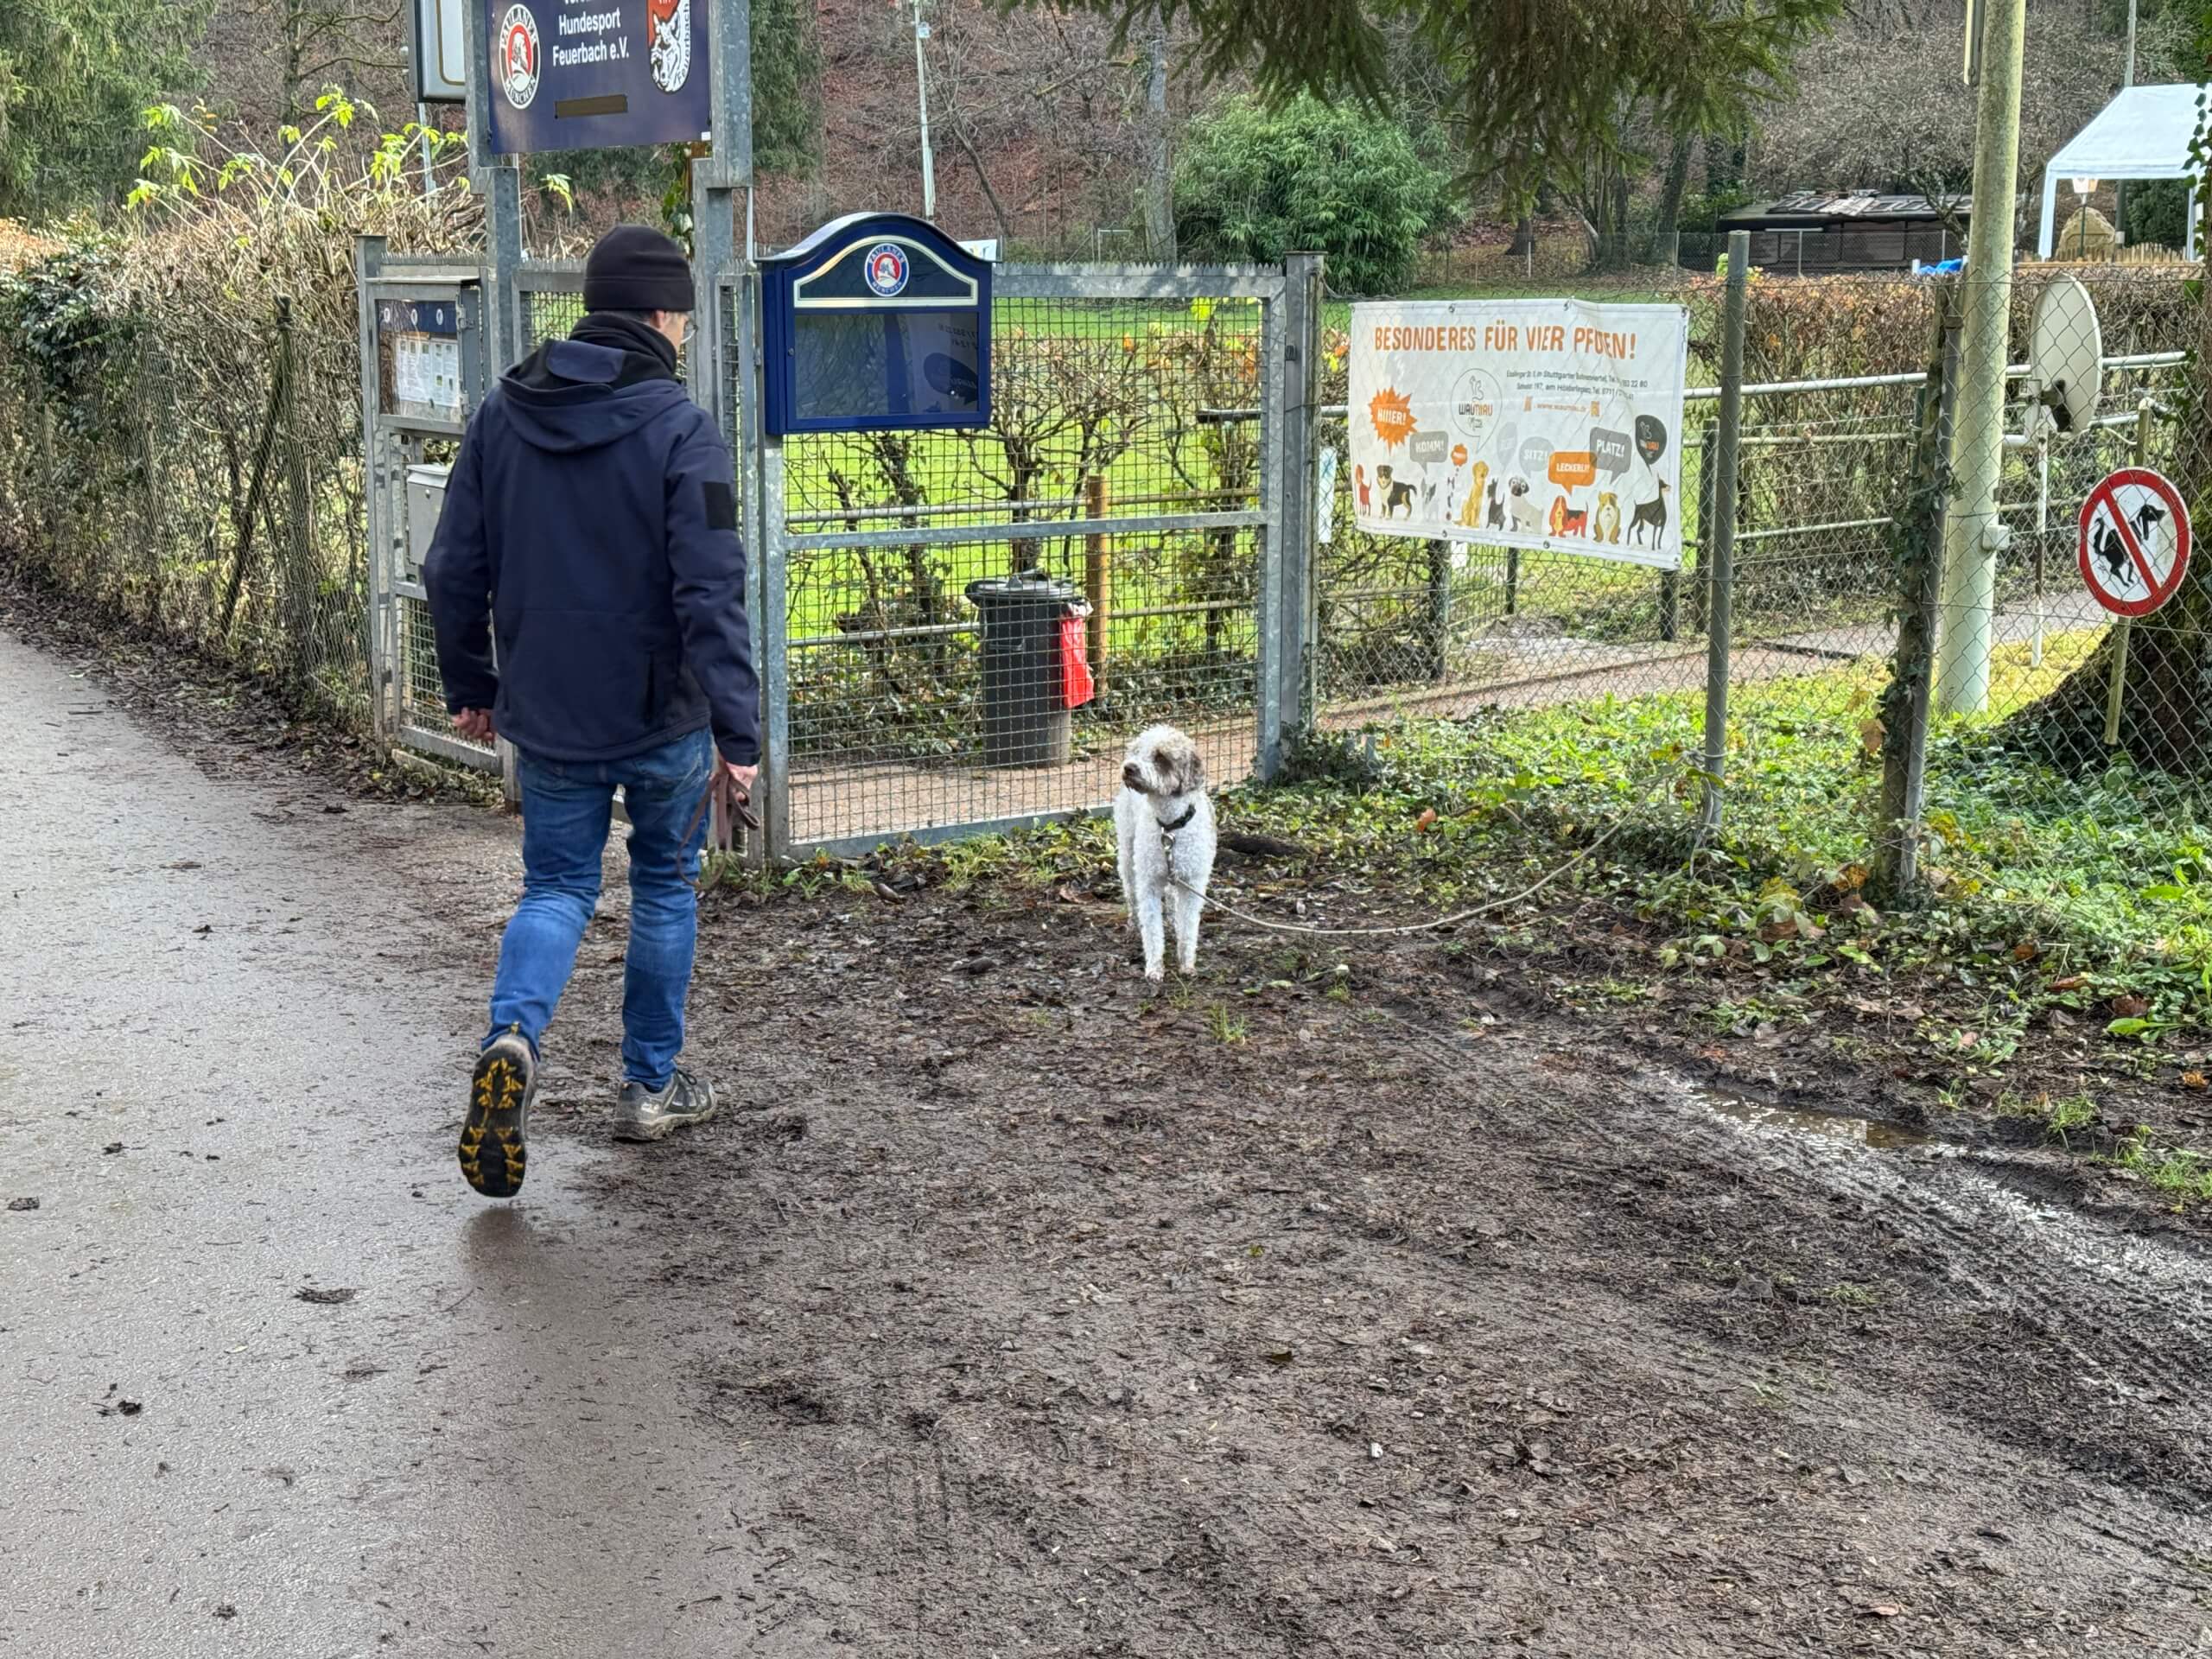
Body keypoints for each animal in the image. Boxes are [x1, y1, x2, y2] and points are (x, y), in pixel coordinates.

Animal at [1115, 726, 1217, 981]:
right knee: (1131, 895)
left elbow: (1189, 926)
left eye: (1160, 757)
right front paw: (1154, 968)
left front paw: (1187, 964)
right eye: (1137, 751)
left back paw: (1172, 919)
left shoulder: (1193, 884)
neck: (1170, 827)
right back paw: (1133, 924)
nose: (1129, 767)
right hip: (1127, 855)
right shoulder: (1148, 882)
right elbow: (1151, 929)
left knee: (1171, 898)